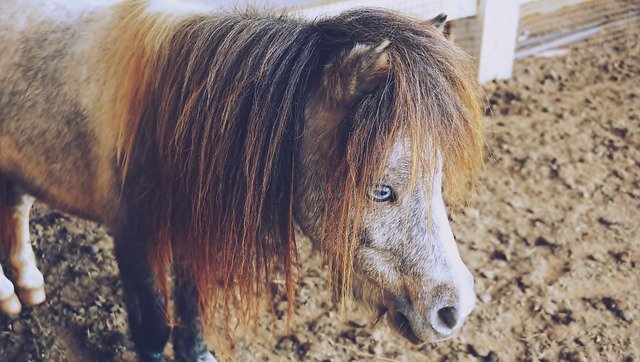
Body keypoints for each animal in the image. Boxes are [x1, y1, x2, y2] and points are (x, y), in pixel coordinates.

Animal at [0, 1, 480, 360]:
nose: (452, 311)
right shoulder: (133, 240)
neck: (165, 120)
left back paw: (28, 284)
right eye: (381, 190)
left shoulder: (190, 233)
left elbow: (192, 319)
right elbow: (153, 330)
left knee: (16, 204)